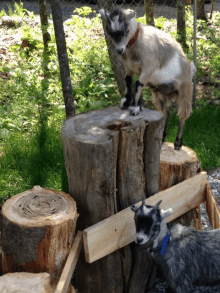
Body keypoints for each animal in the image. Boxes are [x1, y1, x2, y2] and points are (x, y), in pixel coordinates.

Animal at [99, 8, 196, 149]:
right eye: (110, 32)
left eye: (126, 31)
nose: (119, 50)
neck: (137, 40)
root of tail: (190, 68)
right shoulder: (130, 68)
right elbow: (128, 81)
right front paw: (127, 103)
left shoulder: (148, 67)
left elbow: (138, 83)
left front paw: (134, 109)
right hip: (160, 94)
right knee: (166, 113)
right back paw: (162, 138)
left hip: (185, 90)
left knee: (183, 115)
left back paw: (178, 143)